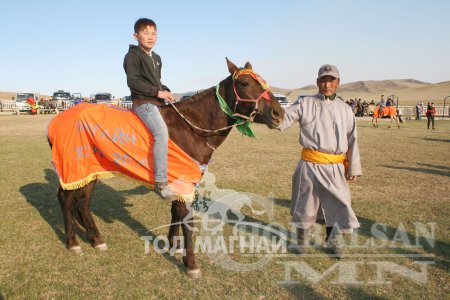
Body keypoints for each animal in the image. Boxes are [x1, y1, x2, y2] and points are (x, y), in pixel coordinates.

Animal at [48, 58, 284, 278]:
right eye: (245, 83)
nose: (278, 114)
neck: (192, 129)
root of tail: (56, 120)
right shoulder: (184, 182)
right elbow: (186, 219)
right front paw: (191, 264)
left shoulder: (180, 182)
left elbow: (175, 212)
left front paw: (174, 245)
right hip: (72, 169)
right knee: (65, 198)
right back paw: (72, 242)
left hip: (88, 170)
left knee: (82, 201)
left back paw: (96, 239)